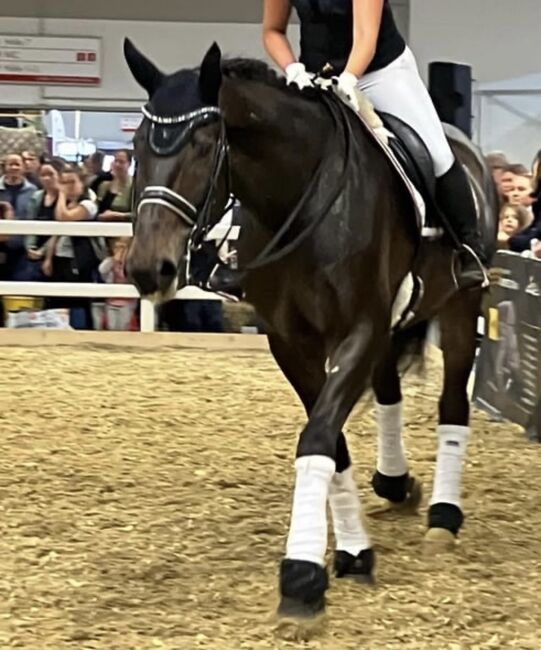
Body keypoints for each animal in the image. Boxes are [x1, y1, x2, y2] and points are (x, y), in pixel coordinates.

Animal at [124, 39, 496, 616]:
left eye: (206, 145)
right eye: (139, 143)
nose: (149, 269)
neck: (296, 200)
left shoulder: (358, 328)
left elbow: (319, 434)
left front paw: (301, 575)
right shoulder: (290, 341)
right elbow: (330, 439)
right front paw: (353, 551)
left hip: (460, 306)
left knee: (453, 403)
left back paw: (443, 516)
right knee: (388, 392)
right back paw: (395, 483)